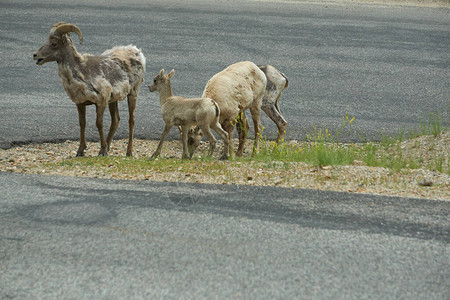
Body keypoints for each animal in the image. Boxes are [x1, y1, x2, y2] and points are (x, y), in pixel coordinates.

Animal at [33, 22, 146, 157]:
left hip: (133, 93)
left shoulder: (101, 102)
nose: (35, 55)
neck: (82, 73)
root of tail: (137, 51)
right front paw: (81, 151)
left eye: (54, 43)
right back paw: (109, 147)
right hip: (113, 100)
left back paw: (129, 152)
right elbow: (82, 124)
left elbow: (99, 124)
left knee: (131, 120)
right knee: (115, 121)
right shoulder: (81, 103)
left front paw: (102, 151)